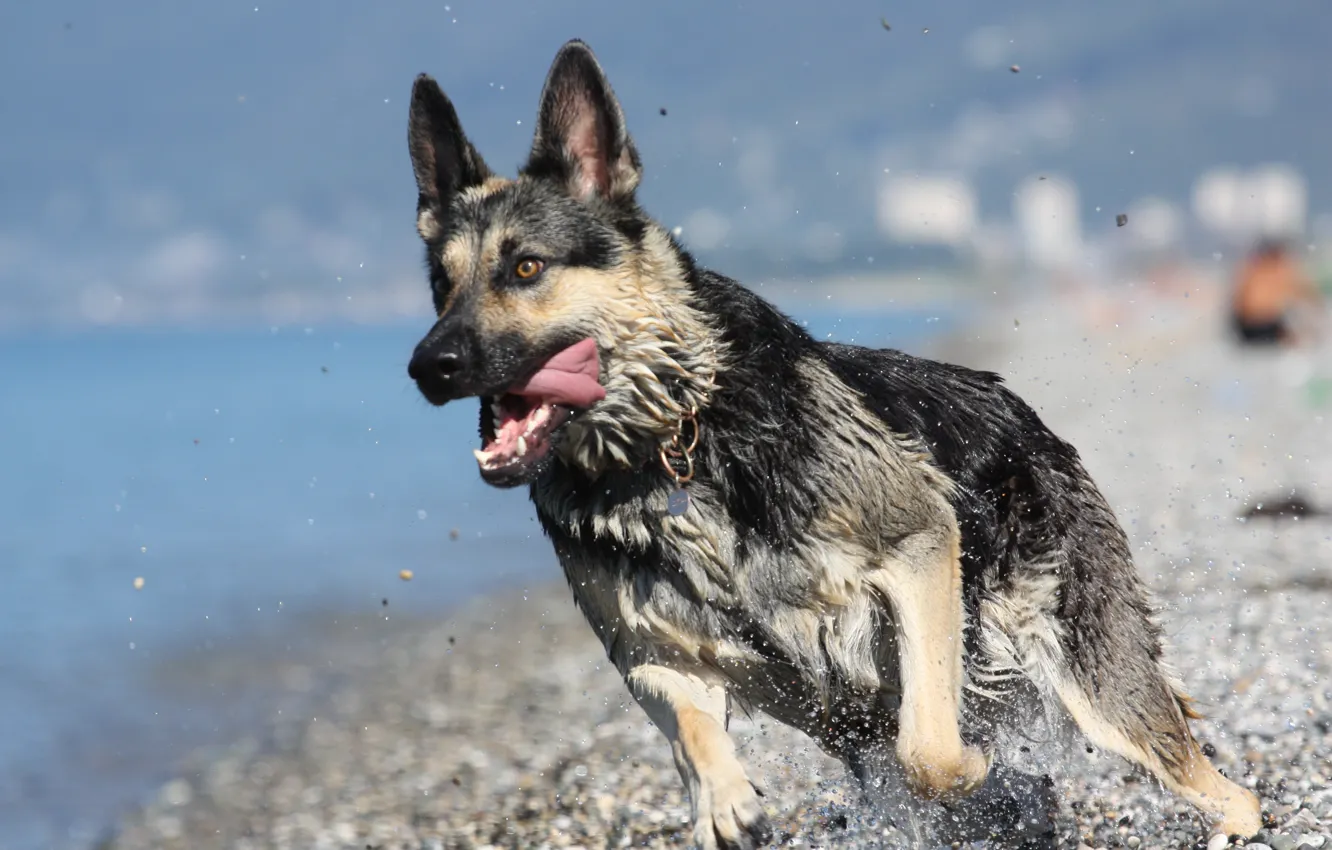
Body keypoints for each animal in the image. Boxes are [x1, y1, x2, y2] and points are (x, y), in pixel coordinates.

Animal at [399, 38, 1262, 847]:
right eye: (441, 284)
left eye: (526, 268)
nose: (426, 367)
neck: (672, 439)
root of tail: (1031, 420)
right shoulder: (648, 649)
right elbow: (693, 731)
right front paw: (722, 799)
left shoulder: (920, 547)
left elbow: (930, 750)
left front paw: (973, 768)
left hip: (1098, 681)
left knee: (1223, 788)